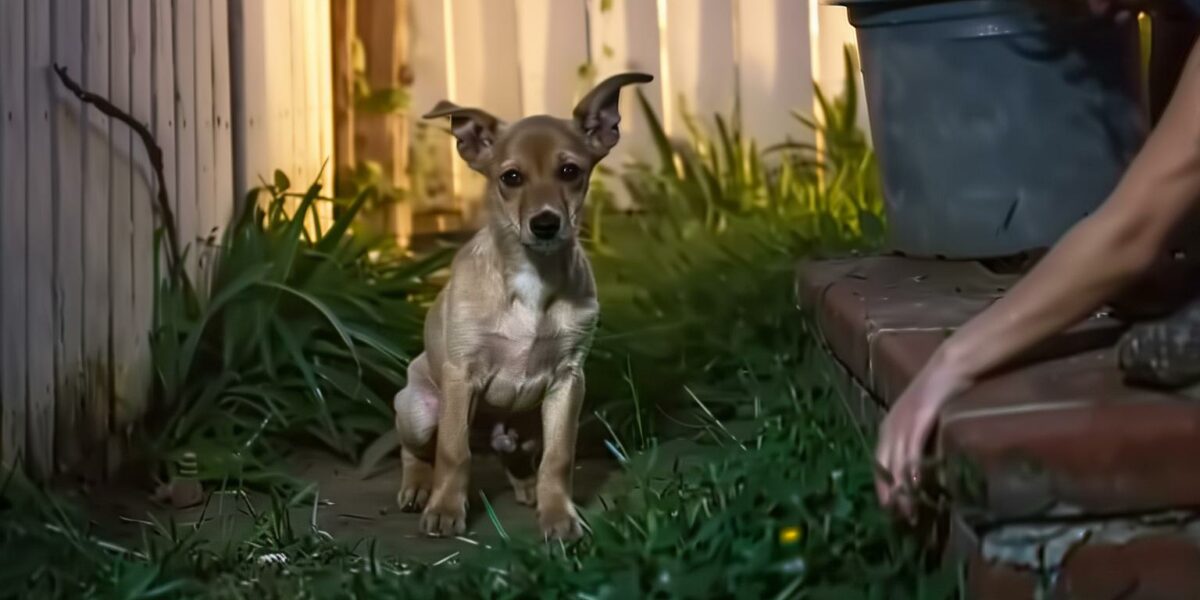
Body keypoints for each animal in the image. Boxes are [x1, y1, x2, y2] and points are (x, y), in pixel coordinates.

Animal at [393, 72, 657, 542]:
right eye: (511, 177)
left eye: (570, 171)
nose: (546, 223)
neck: (533, 279)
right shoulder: (461, 378)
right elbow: (453, 453)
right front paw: (445, 509)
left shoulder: (568, 382)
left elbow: (558, 459)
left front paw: (558, 518)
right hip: (418, 410)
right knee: (418, 449)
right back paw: (418, 488)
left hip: (528, 428)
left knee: (516, 458)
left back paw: (529, 488)